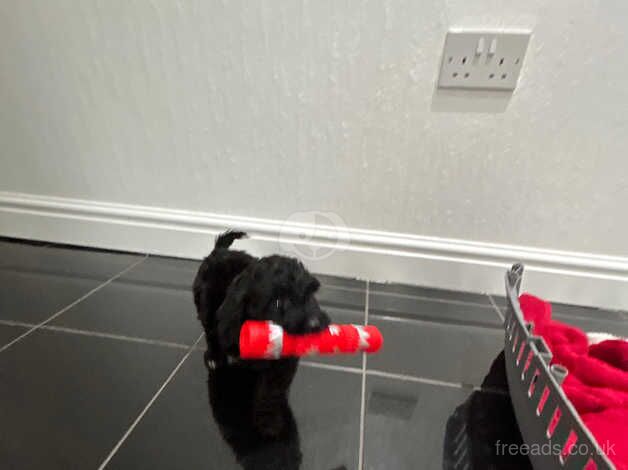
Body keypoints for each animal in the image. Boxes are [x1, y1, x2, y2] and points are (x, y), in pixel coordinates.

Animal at [193, 231, 332, 436]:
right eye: (278, 302)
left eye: (310, 294)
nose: (315, 324)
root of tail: (219, 251)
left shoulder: (282, 363)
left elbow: (271, 391)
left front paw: (269, 421)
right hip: (205, 303)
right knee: (210, 330)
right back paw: (214, 356)